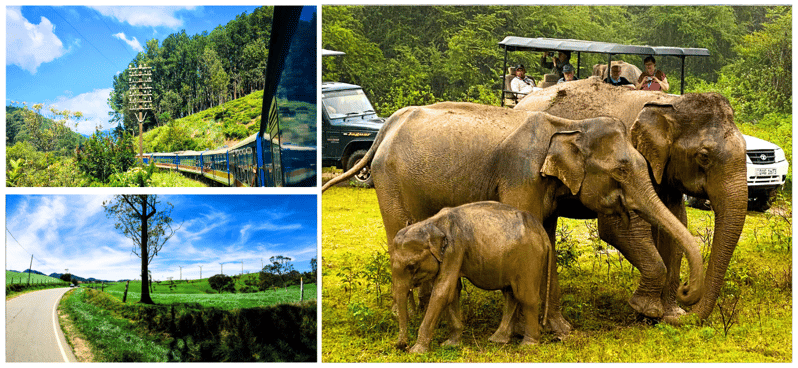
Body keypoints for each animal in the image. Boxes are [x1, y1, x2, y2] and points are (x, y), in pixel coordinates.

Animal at [324, 101, 708, 336]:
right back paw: (405, 314)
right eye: (622, 171)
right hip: (389, 180)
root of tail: (386, 127)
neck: (569, 126)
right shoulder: (521, 176)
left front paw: (559, 330)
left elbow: (545, 239)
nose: (686, 293)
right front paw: (533, 330)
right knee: (397, 233)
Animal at [390, 201, 552, 354]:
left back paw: (528, 345)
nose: (402, 346)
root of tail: (542, 232)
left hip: (529, 256)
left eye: (411, 266)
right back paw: (497, 340)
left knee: (525, 296)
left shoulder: (454, 249)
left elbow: (443, 292)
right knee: (510, 294)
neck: (431, 222)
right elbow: (453, 291)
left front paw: (417, 351)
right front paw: (450, 344)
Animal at [520, 78, 752, 322]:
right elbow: (619, 229)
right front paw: (647, 310)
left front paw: (670, 315)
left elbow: (677, 223)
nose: (686, 290)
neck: (669, 104)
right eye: (704, 156)